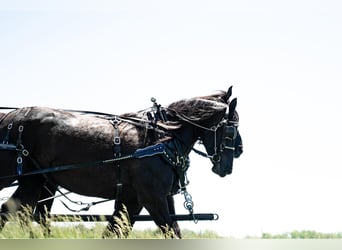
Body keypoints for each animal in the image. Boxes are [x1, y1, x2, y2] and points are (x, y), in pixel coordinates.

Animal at [0, 88, 242, 238]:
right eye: (231, 128)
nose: (238, 153)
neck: (160, 137)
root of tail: (10, 117)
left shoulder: (136, 199)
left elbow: (117, 231)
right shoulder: (151, 197)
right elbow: (170, 230)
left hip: (39, 181)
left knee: (25, 213)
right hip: (25, 178)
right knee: (14, 212)